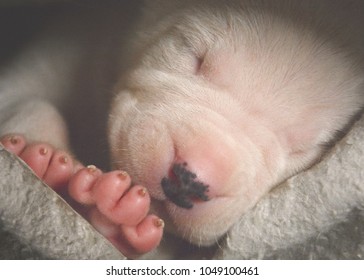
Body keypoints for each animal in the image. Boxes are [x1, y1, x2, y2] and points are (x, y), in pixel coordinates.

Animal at [0, 0, 364, 258]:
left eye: (305, 148)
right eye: (194, 55)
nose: (189, 181)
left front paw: (115, 216)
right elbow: (29, 98)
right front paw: (47, 157)